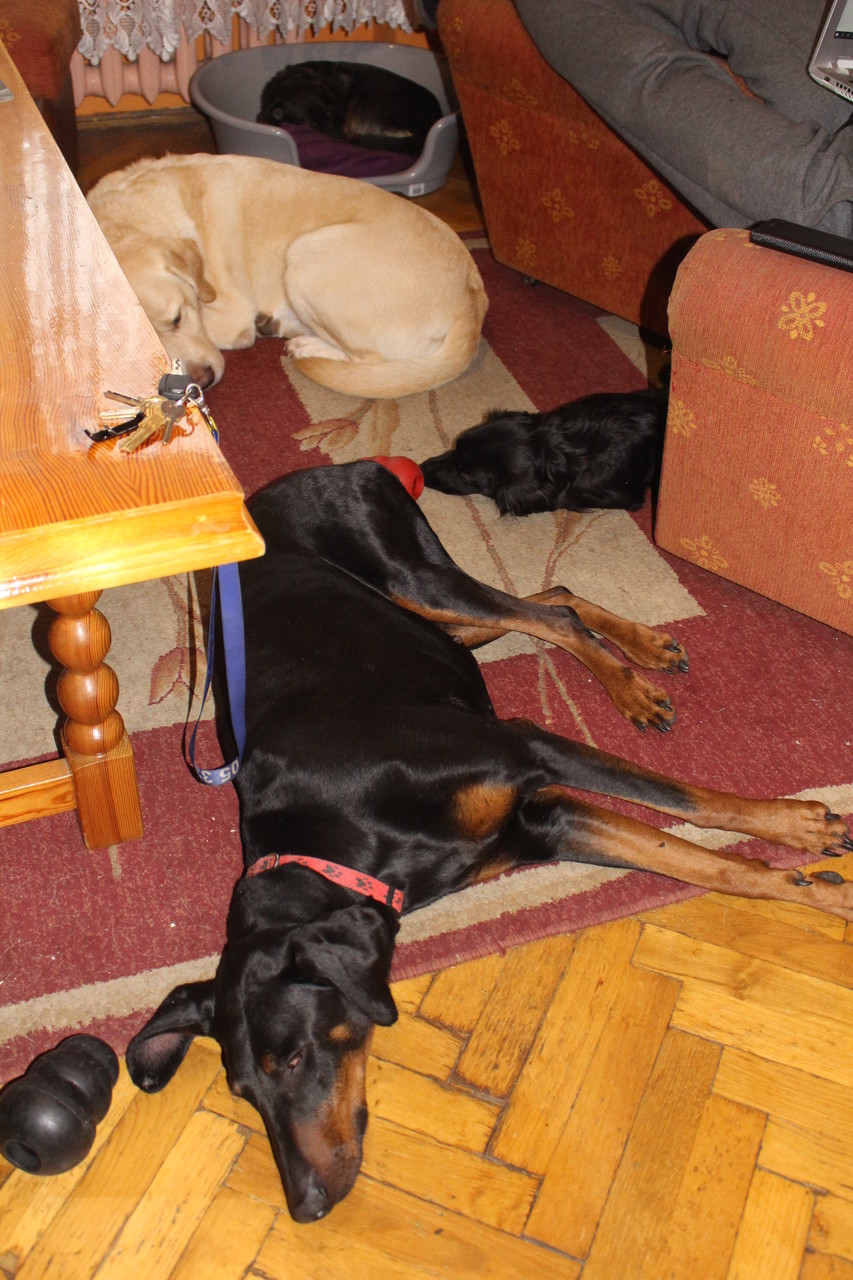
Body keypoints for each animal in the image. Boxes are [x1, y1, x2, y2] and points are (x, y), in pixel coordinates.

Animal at [87, 154, 486, 395]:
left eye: (178, 318)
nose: (201, 381)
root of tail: (472, 301)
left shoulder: (231, 314)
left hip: (306, 257)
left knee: (370, 360)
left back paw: (305, 345)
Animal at [124, 462, 852, 1224]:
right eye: (243, 1091)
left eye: (290, 1059)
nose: (307, 1206)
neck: (331, 833)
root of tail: (308, 473)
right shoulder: (541, 824)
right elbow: (697, 863)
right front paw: (806, 882)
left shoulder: (526, 749)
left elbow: (693, 802)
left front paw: (800, 827)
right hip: (424, 615)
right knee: (548, 602)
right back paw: (639, 657)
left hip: (412, 575)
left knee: (544, 613)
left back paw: (636, 678)